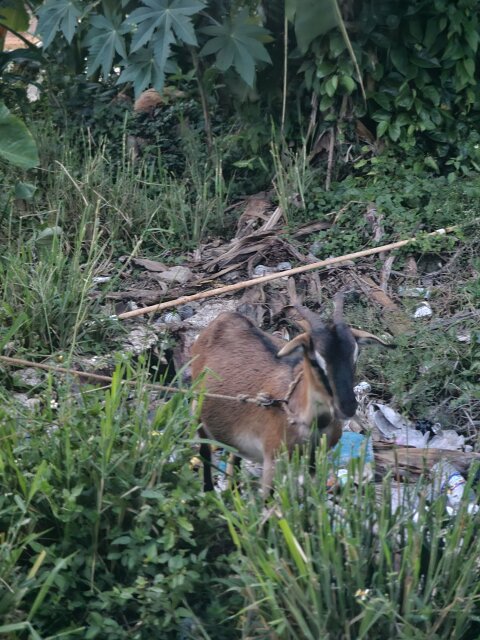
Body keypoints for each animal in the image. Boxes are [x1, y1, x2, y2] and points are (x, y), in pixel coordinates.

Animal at [191, 294, 390, 495]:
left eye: (355, 356)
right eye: (315, 360)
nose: (347, 406)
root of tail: (224, 318)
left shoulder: (313, 463)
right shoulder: (273, 460)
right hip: (197, 411)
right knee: (205, 451)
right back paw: (208, 490)